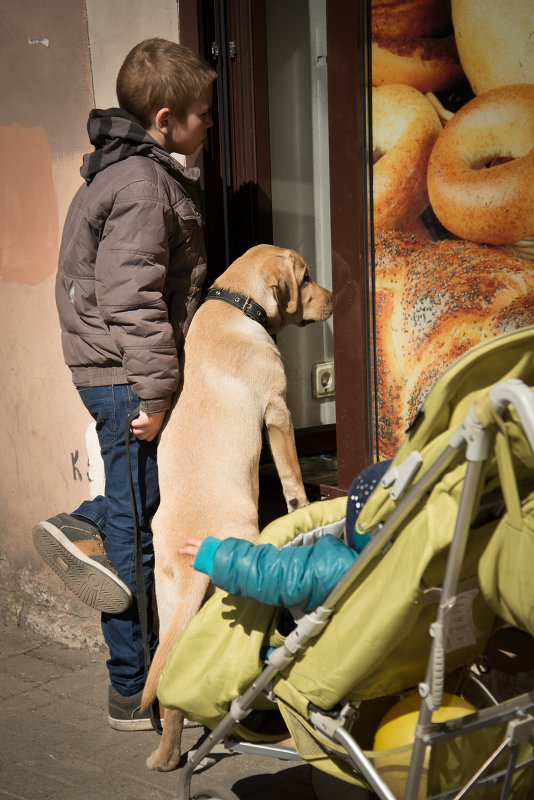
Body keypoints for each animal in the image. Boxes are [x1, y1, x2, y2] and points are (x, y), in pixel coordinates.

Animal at [142, 242, 336, 768]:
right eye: (305, 279)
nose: (333, 299)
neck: (234, 306)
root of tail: (193, 555)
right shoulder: (278, 410)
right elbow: (291, 475)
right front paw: (300, 504)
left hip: (172, 607)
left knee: (171, 686)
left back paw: (167, 755)